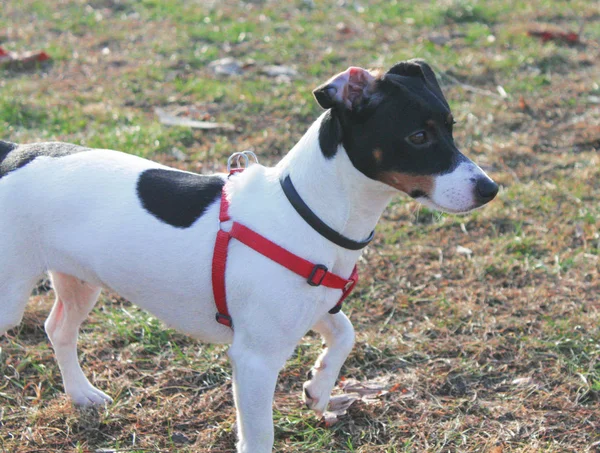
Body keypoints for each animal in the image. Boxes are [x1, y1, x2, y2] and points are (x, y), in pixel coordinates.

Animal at [0, 61, 496, 452]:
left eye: (451, 126)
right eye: (418, 136)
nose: (490, 188)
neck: (308, 212)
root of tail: (15, 153)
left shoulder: (316, 307)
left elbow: (346, 334)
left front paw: (319, 388)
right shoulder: (255, 359)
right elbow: (259, 436)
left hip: (79, 282)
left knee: (58, 330)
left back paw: (82, 394)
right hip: (11, 295)